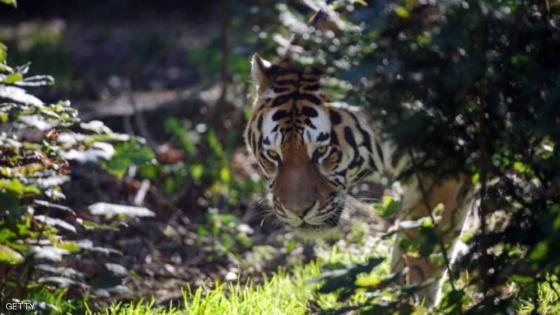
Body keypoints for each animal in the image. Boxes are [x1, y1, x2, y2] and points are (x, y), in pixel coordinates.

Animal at [245, 54, 476, 306]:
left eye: (322, 151)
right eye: (272, 155)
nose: (298, 211)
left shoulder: (443, 164)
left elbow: (419, 250)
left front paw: (408, 303)